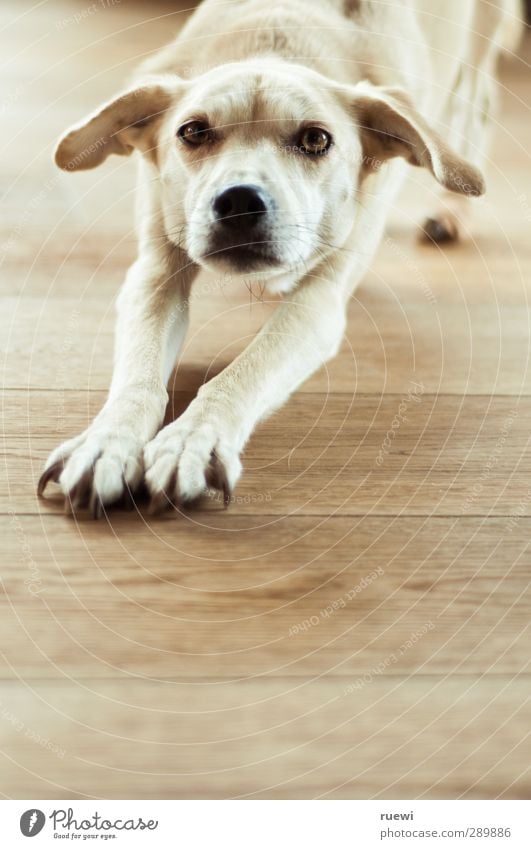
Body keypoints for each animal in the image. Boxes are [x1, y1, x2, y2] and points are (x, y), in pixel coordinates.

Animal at [37, 1, 524, 516]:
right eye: (192, 131)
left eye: (316, 140)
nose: (238, 201)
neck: (276, 44)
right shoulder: (155, 274)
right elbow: (138, 374)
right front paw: (107, 443)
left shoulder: (318, 302)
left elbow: (242, 373)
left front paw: (192, 441)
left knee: (477, 103)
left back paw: (452, 211)